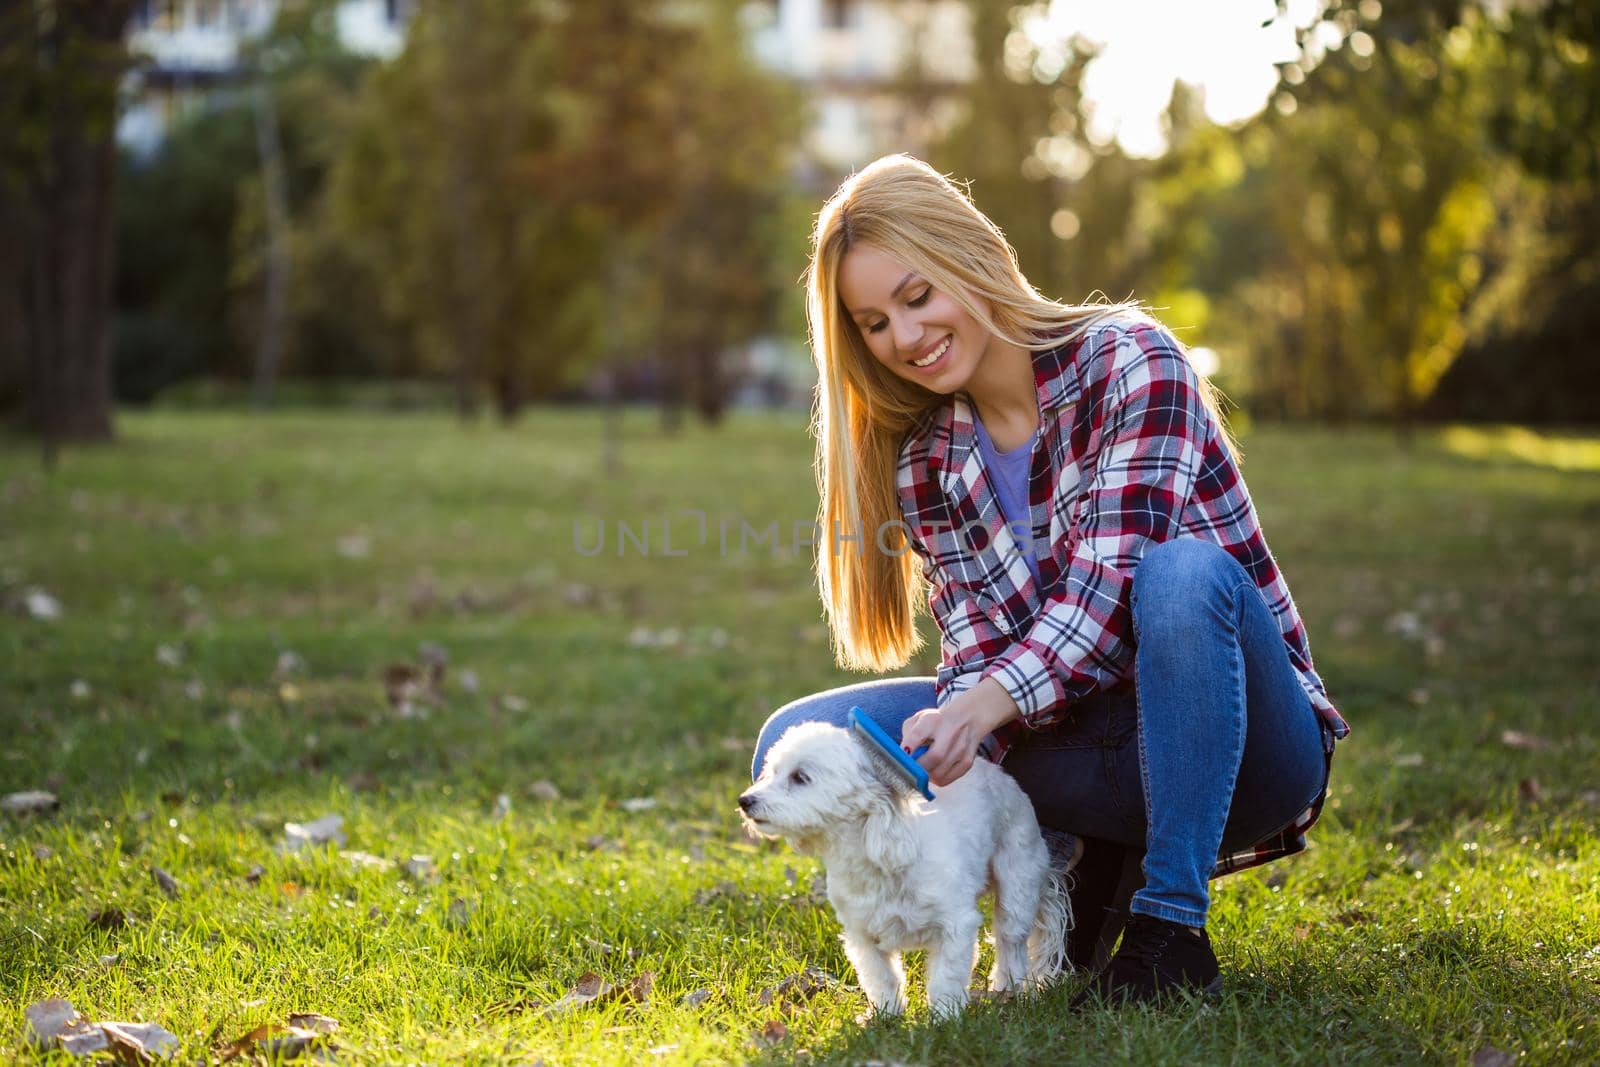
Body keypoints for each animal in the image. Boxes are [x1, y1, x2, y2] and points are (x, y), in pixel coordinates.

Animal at [739, 716, 1068, 1017]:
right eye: (773, 772)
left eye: (801, 777)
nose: (745, 800)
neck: (877, 861)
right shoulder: (862, 936)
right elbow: (881, 979)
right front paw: (886, 1017)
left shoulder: (956, 926)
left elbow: (946, 979)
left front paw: (945, 1020)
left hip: (1017, 884)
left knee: (1010, 943)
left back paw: (1006, 989)